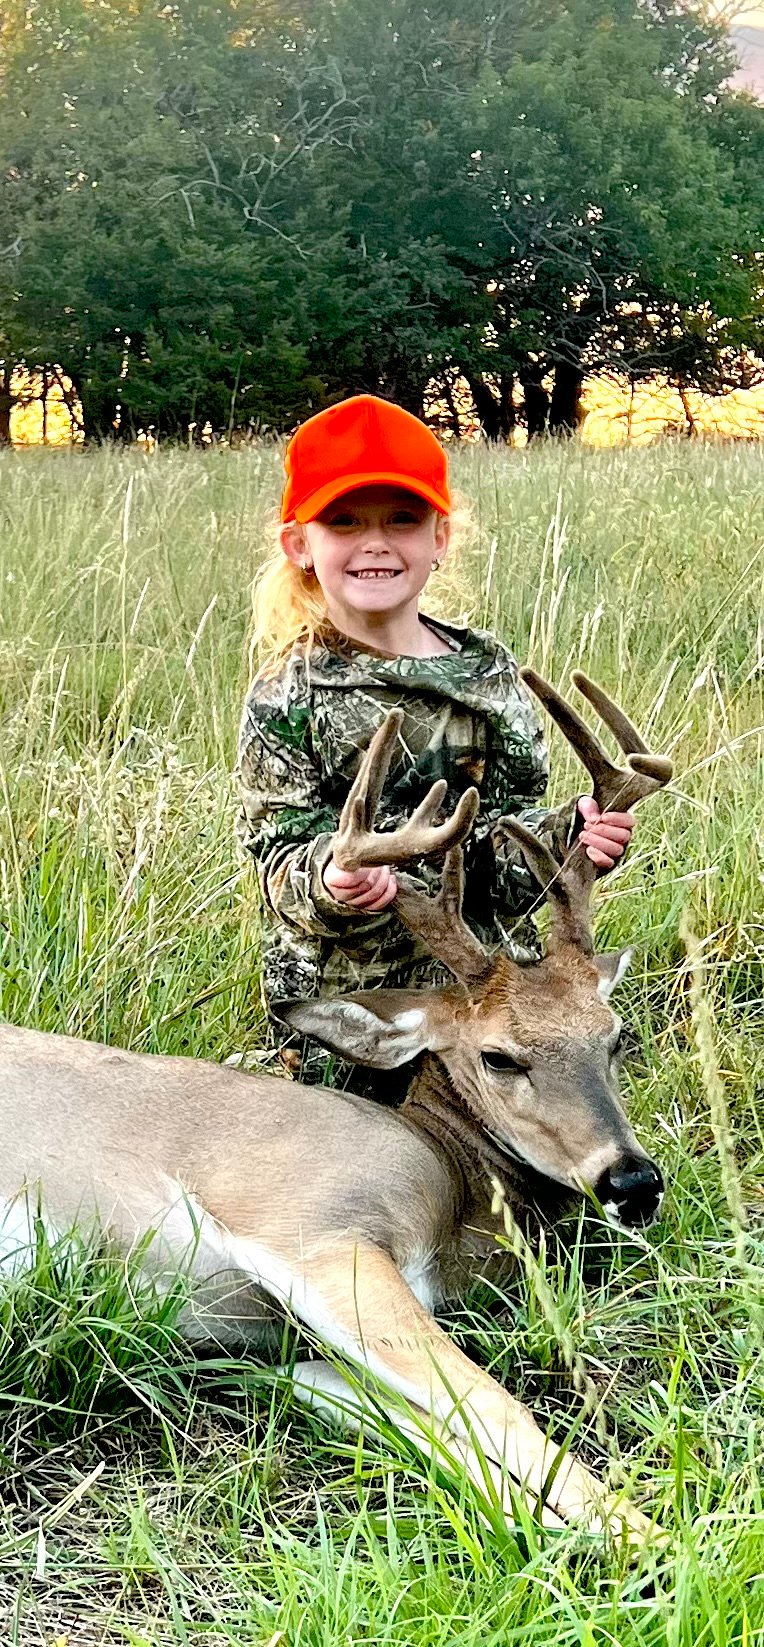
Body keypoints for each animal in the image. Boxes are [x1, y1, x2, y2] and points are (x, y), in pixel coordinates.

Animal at [0, 670, 672, 1539]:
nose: (634, 1181)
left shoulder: (280, 1347)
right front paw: (655, 1537)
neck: (445, 1178)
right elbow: (497, 1405)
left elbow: (427, 1427)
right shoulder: (317, 1230)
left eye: (615, 1036)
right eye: (499, 1055)